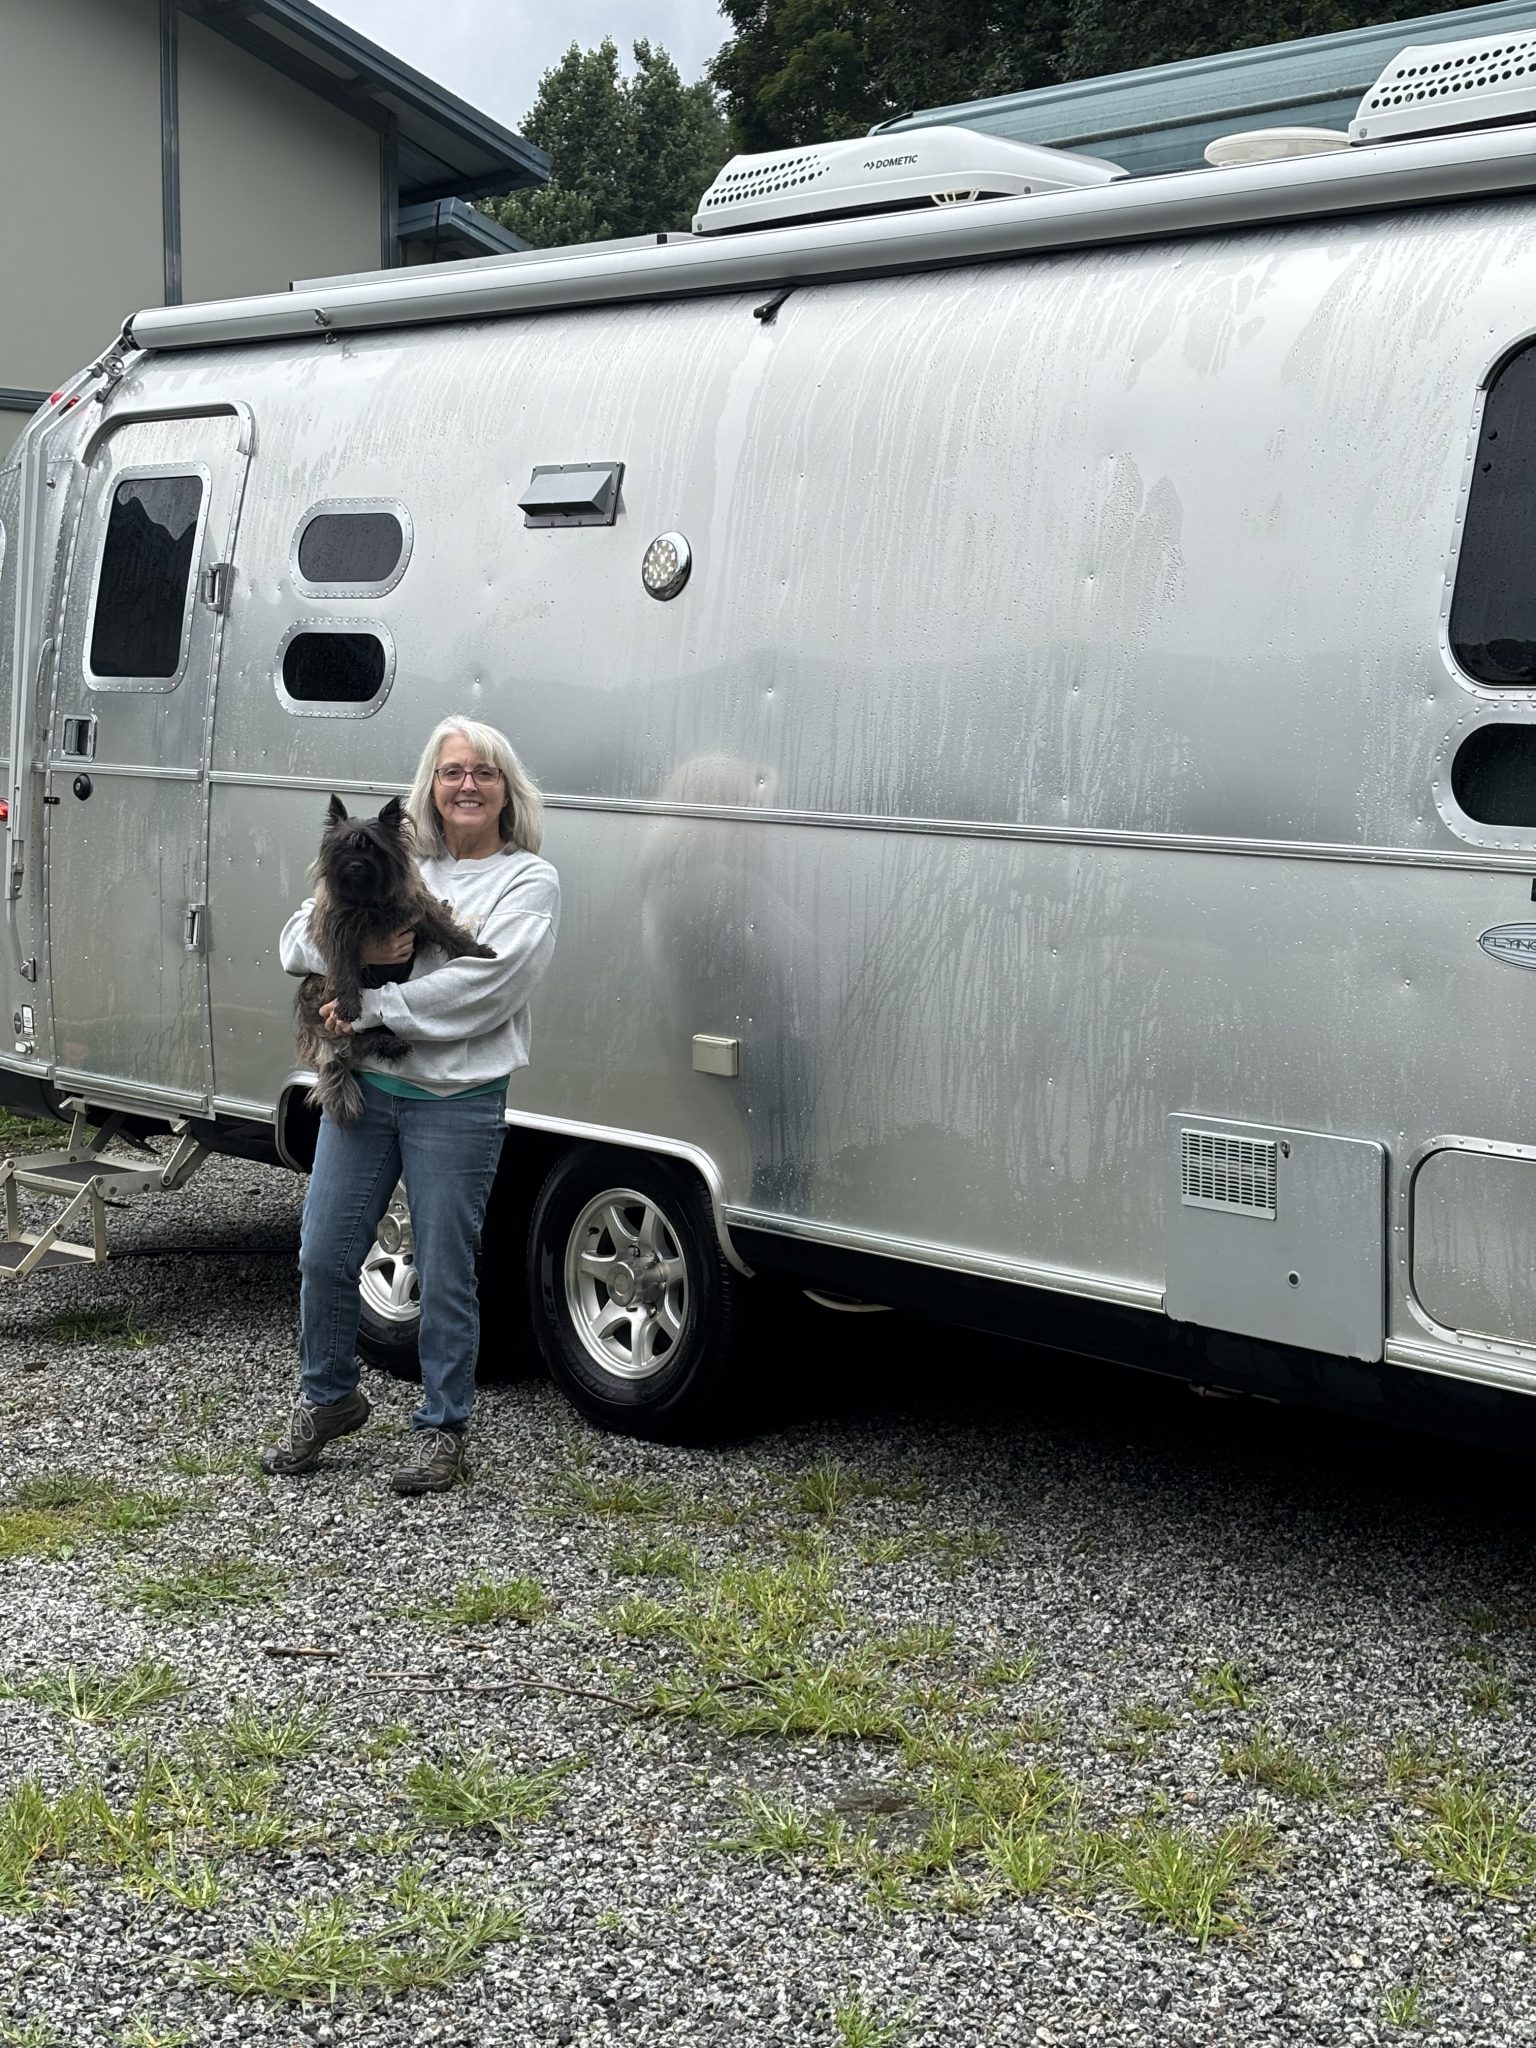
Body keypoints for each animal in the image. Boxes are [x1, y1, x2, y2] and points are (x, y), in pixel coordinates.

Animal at [293, 794, 496, 1126]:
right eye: (343, 847)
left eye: (373, 847)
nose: (355, 864)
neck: (368, 902)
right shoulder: (340, 935)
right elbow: (345, 971)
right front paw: (349, 1005)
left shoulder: (420, 912)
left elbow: (449, 932)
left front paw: (478, 951)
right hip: (320, 992)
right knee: (358, 1037)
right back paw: (388, 1042)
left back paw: (392, 1042)